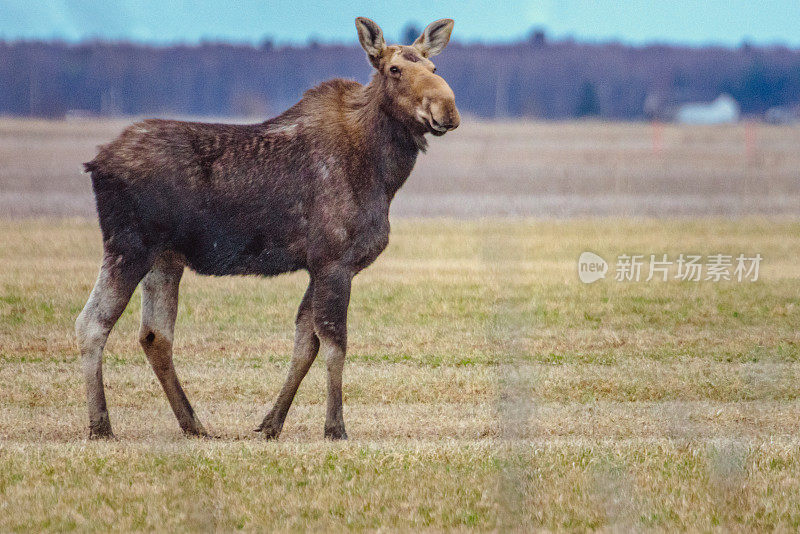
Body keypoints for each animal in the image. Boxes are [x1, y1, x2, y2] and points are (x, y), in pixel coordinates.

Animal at [76, 18, 462, 442]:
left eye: (434, 67)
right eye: (394, 69)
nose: (447, 109)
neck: (384, 174)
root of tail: (96, 164)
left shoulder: (319, 266)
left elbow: (305, 344)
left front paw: (270, 424)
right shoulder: (334, 261)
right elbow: (334, 344)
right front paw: (335, 427)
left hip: (164, 258)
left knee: (155, 335)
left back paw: (193, 424)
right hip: (130, 246)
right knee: (92, 324)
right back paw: (100, 425)